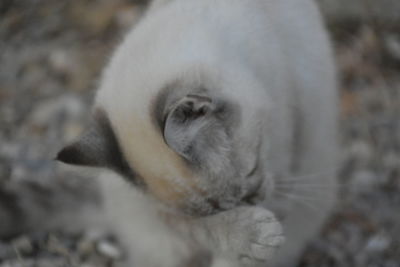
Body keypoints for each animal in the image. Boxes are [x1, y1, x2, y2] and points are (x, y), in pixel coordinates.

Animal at [57, 1, 338, 266]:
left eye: (252, 170)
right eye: (214, 210)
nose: (253, 200)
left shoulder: (283, 164)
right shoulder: (170, 215)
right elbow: (204, 230)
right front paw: (252, 235)